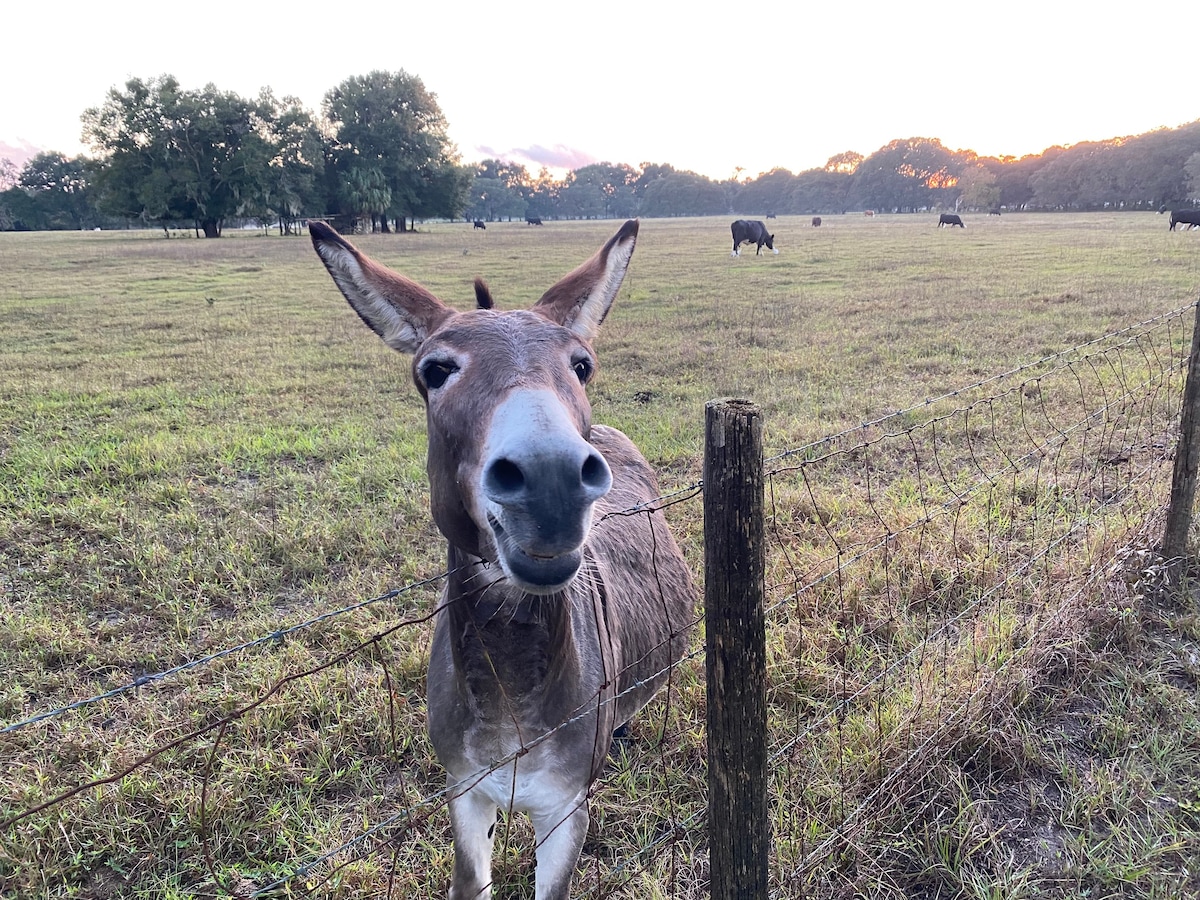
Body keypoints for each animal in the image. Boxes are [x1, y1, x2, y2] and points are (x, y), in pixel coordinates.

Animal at [309, 222, 696, 900]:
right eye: (435, 371)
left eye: (581, 366)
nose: (552, 480)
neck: (510, 687)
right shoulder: (464, 791)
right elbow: (470, 883)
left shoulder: (566, 808)